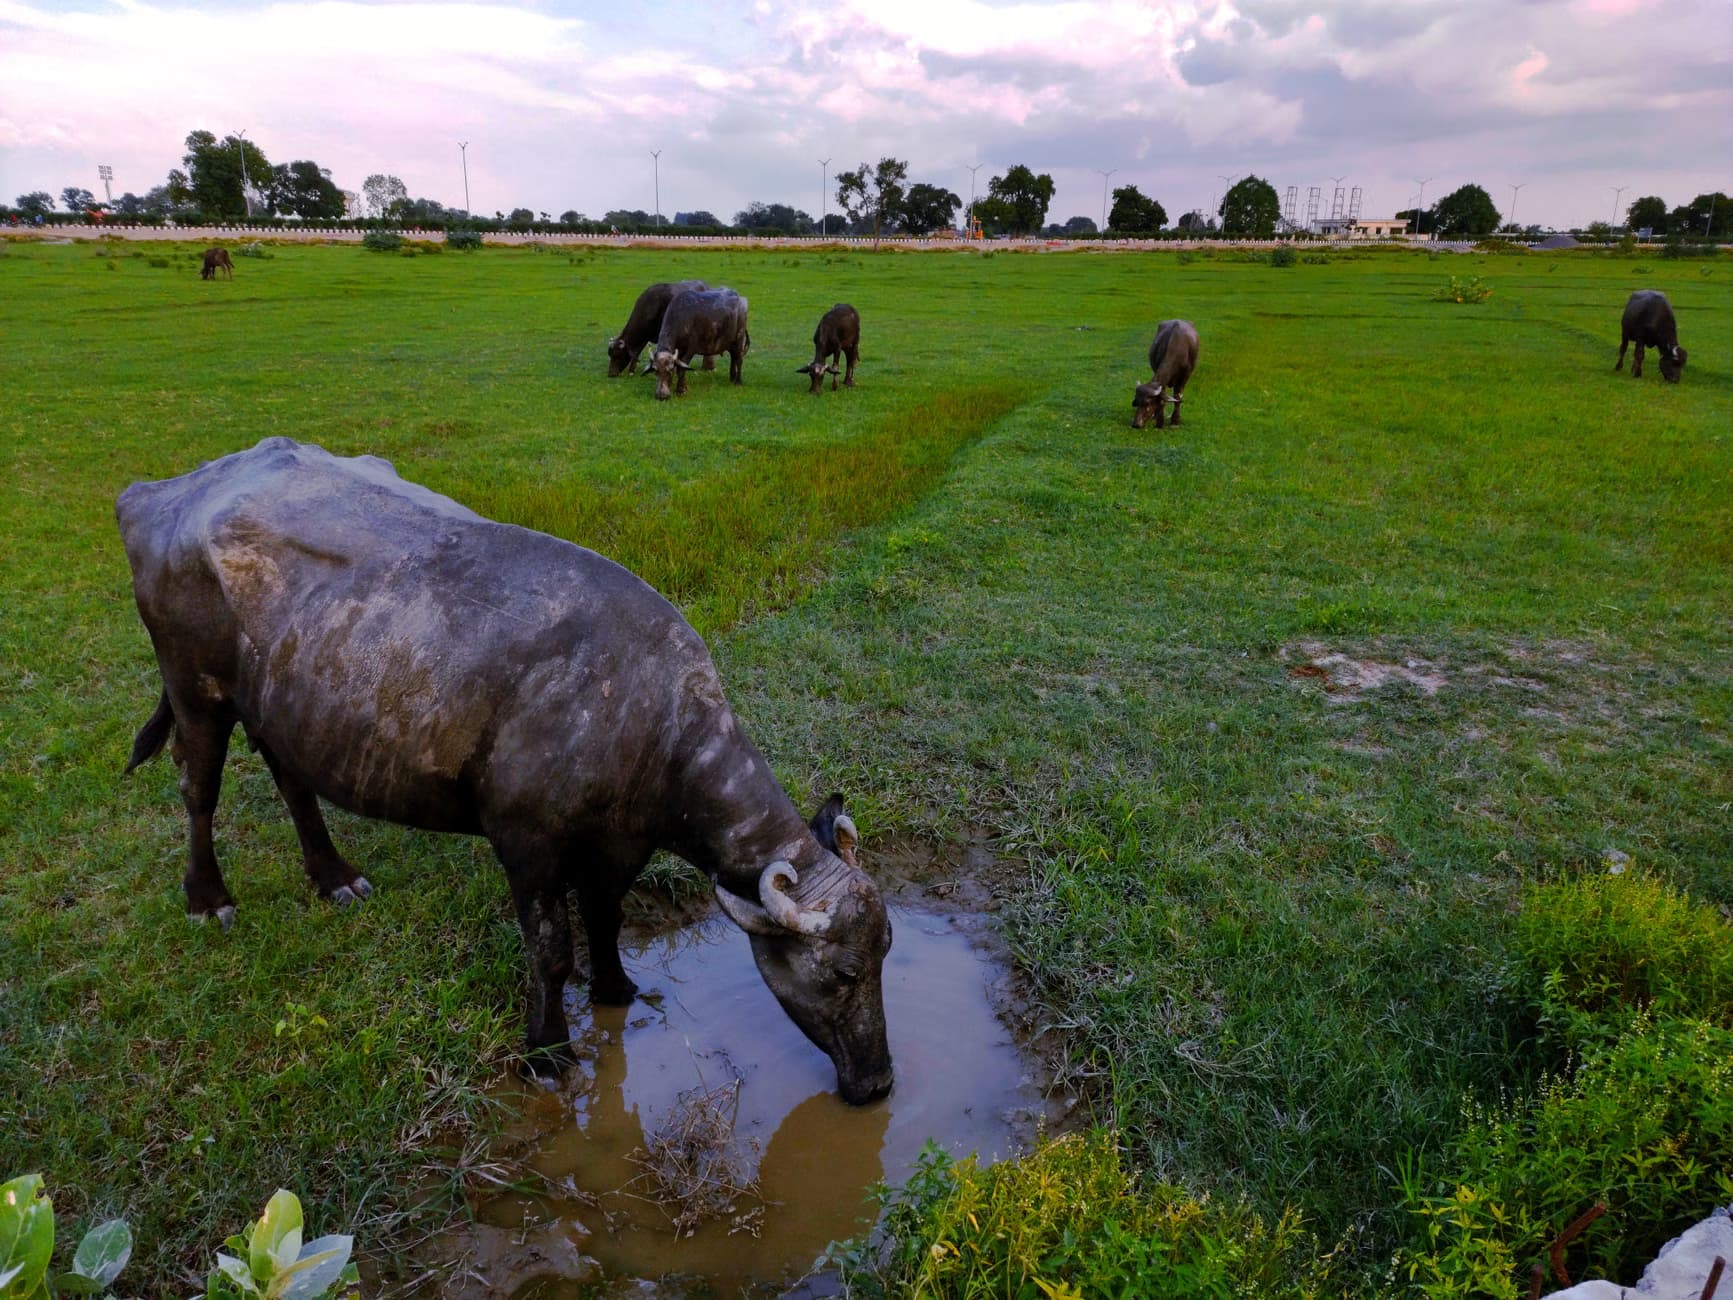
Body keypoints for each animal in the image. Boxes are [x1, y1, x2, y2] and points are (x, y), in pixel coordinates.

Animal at [116, 438, 893, 1103]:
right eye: (845, 972)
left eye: (886, 952)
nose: (880, 1082)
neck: (647, 718)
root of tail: (159, 494)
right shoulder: (526, 842)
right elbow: (549, 951)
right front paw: (547, 1050)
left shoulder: (622, 843)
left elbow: (605, 915)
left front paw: (616, 989)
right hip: (194, 688)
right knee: (197, 786)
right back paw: (208, 896)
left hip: (280, 705)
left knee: (290, 777)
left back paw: (333, 876)